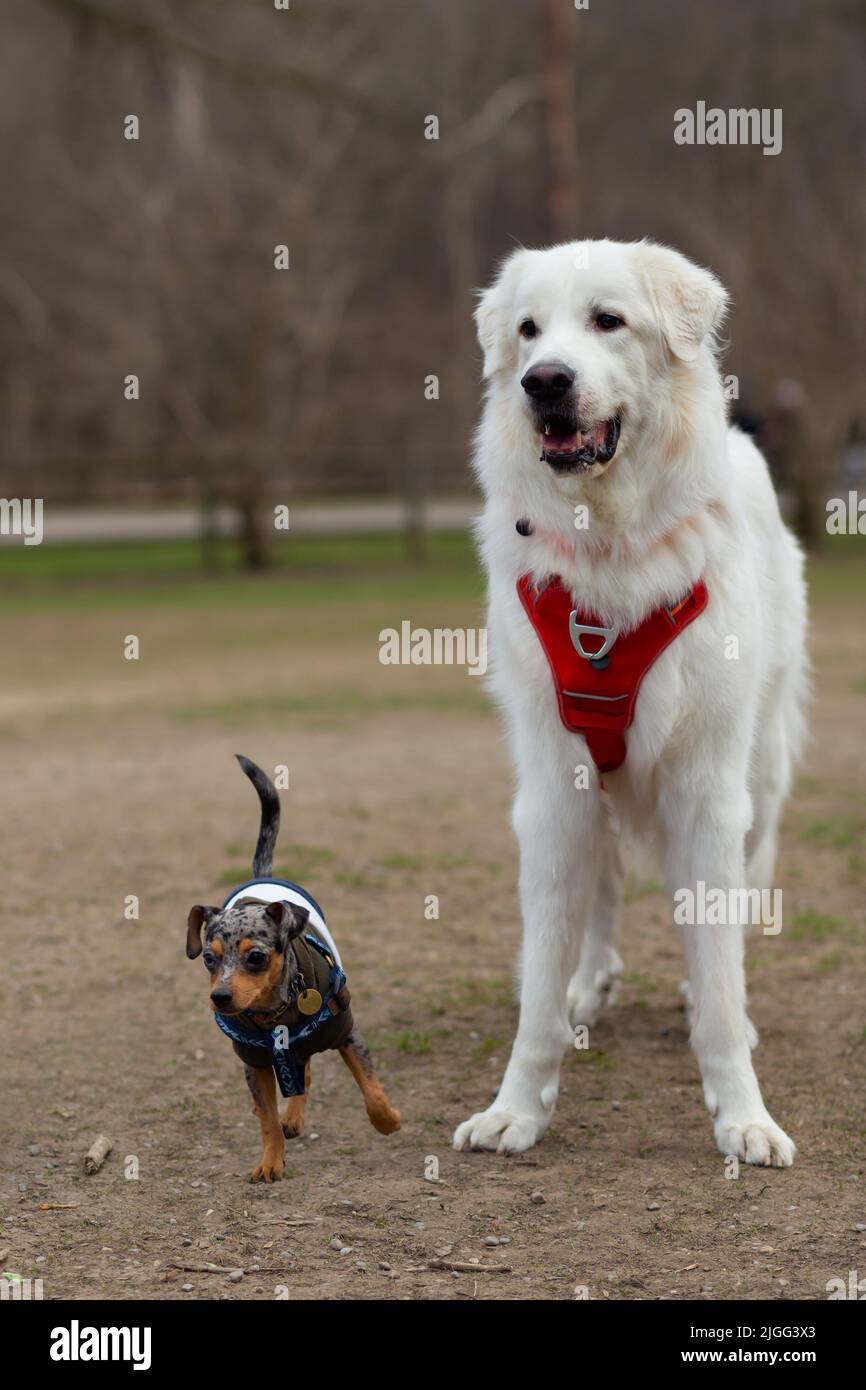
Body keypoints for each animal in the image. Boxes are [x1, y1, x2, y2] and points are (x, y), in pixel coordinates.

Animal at [187, 761, 400, 1184]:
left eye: (256, 957)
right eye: (208, 958)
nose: (220, 997)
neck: (275, 1015)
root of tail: (262, 876)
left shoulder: (347, 1034)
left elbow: (371, 1088)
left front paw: (387, 1121)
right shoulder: (255, 1064)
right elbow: (268, 1120)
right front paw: (271, 1161)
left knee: (308, 1072)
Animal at [458, 244, 811, 1167]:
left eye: (607, 321)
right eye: (528, 330)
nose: (543, 381)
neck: (610, 543)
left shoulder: (708, 795)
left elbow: (719, 981)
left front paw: (743, 1117)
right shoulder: (555, 788)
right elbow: (541, 977)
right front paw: (518, 1108)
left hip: (759, 784)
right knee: (605, 891)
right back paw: (589, 985)